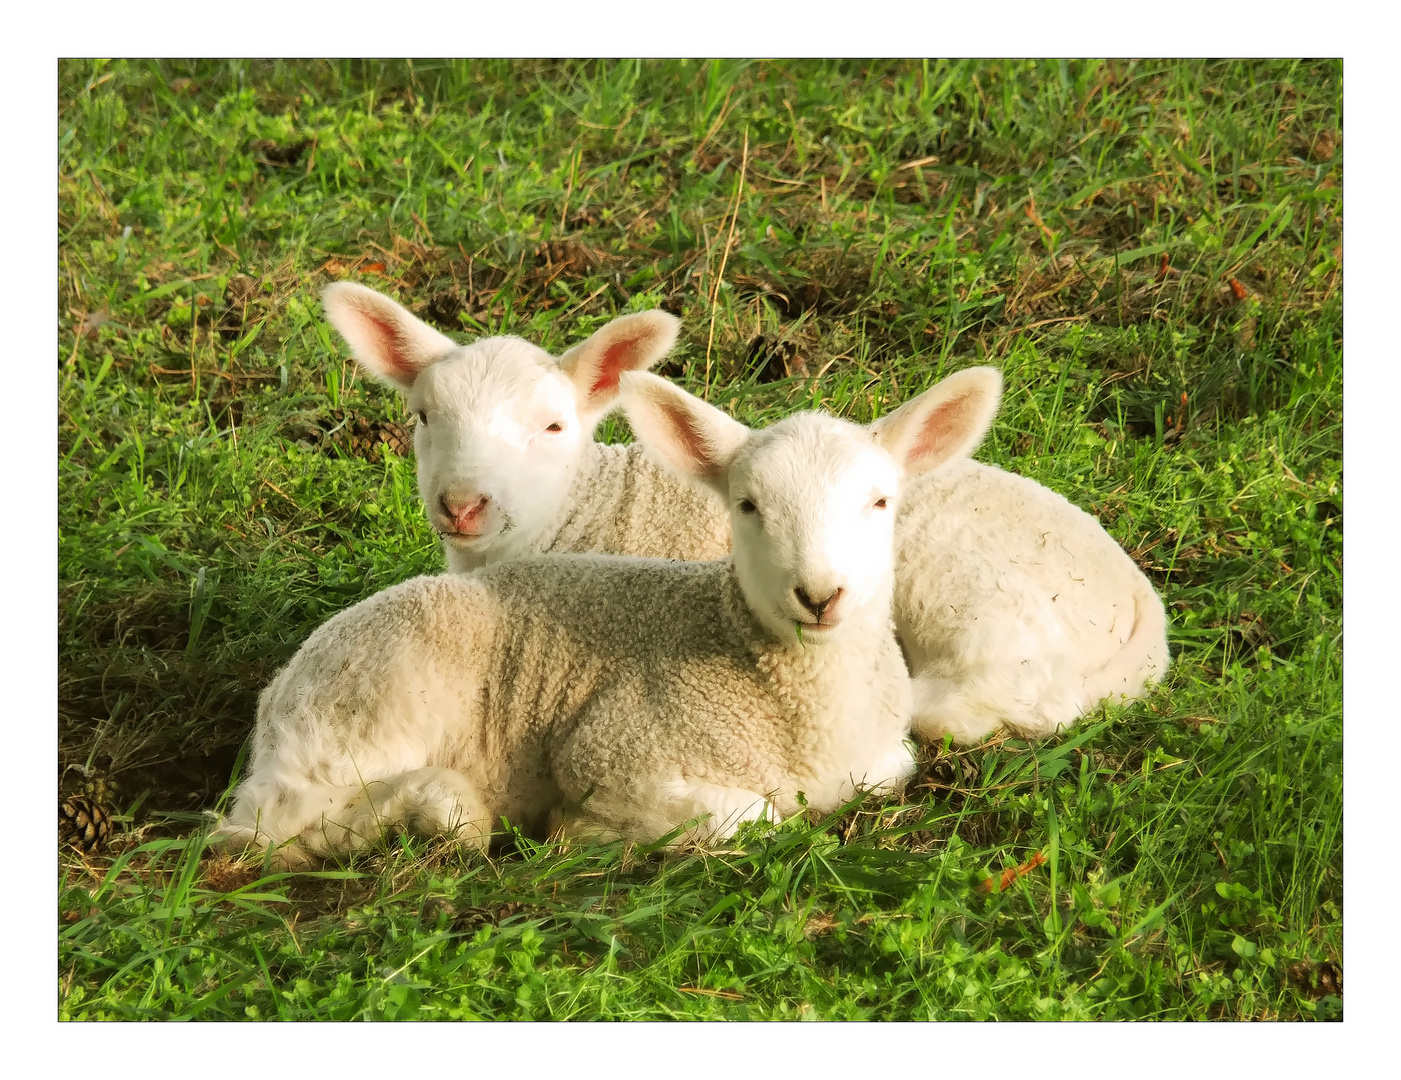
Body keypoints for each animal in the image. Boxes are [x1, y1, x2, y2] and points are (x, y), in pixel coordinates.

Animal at [210, 367, 1008, 868]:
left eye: (880, 502)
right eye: (747, 506)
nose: (820, 595)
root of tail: (277, 693)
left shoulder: (882, 760)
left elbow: (888, 772)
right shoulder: (612, 750)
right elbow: (751, 818)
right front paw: (580, 832)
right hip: (374, 703)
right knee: (269, 826)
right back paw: (446, 811)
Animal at [322, 282, 1165, 745]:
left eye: (553, 427)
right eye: (422, 417)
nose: (462, 505)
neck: (579, 511)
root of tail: (1143, 619)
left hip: (978, 610)